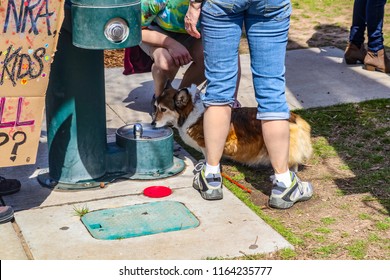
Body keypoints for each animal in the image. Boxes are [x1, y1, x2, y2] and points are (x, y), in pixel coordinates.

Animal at [151, 82, 312, 172]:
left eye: (163, 109)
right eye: (155, 107)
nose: (152, 124)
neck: (190, 112)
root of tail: (296, 119)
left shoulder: (205, 144)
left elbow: (208, 155)